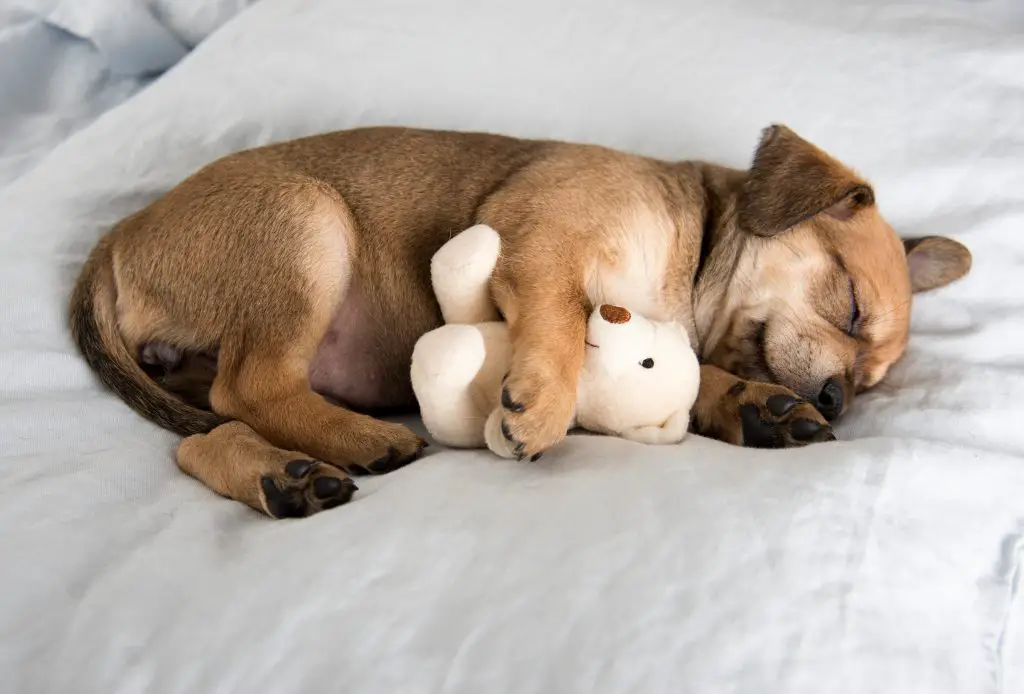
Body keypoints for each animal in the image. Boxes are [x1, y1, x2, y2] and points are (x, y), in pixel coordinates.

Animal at [70, 124, 966, 519]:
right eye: (849, 303)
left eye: (871, 380)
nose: (840, 396)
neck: (696, 239)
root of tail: (118, 237)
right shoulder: (542, 242)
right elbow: (561, 322)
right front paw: (539, 403)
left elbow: (694, 374)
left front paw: (753, 404)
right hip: (306, 226)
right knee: (251, 387)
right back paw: (361, 440)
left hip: (202, 369)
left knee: (202, 433)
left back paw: (283, 477)